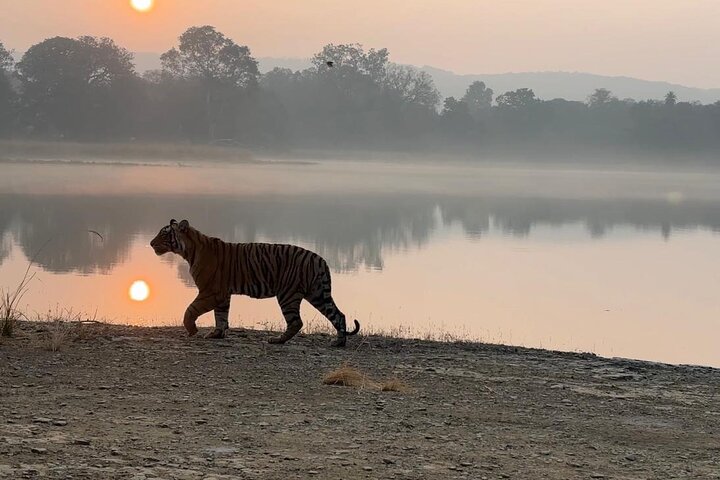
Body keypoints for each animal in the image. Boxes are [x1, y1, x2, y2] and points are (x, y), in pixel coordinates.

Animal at [150, 219, 360, 347]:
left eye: (164, 234)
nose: (151, 243)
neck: (190, 250)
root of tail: (321, 259)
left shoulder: (210, 292)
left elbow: (190, 309)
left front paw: (192, 330)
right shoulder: (222, 295)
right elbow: (221, 315)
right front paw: (217, 334)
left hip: (288, 295)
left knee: (296, 321)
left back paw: (277, 340)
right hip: (317, 294)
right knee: (338, 315)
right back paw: (339, 343)